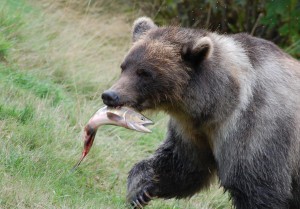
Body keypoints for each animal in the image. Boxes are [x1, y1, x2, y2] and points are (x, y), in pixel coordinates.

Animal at [101, 17, 300, 208]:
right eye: (124, 66)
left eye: (144, 73)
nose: (110, 95)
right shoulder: (193, 131)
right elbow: (183, 166)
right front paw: (139, 189)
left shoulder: (257, 129)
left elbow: (256, 186)